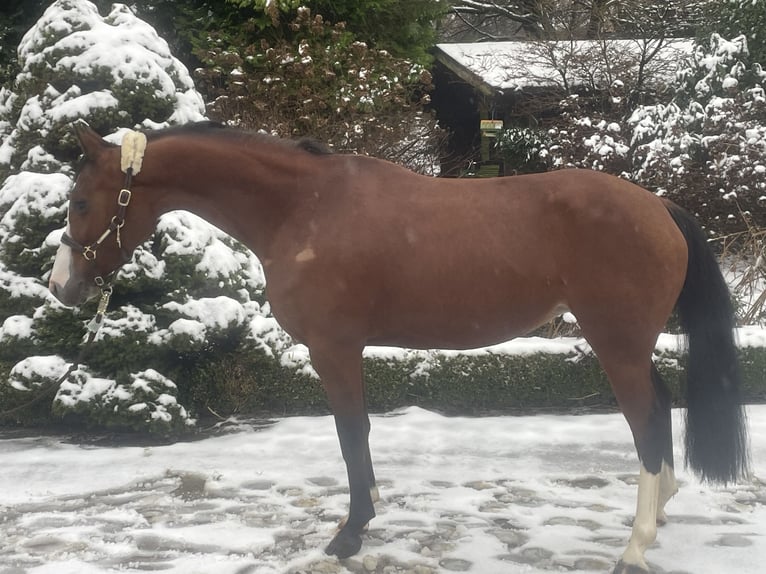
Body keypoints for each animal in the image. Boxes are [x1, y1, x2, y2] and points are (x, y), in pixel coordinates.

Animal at [49, 122, 752, 574]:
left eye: (81, 202)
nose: (63, 288)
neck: (303, 207)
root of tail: (659, 207)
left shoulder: (334, 348)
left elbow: (350, 432)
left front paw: (350, 533)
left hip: (616, 343)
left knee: (646, 419)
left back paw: (634, 546)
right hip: (630, 344)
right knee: (659, 409)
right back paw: (660, 515)